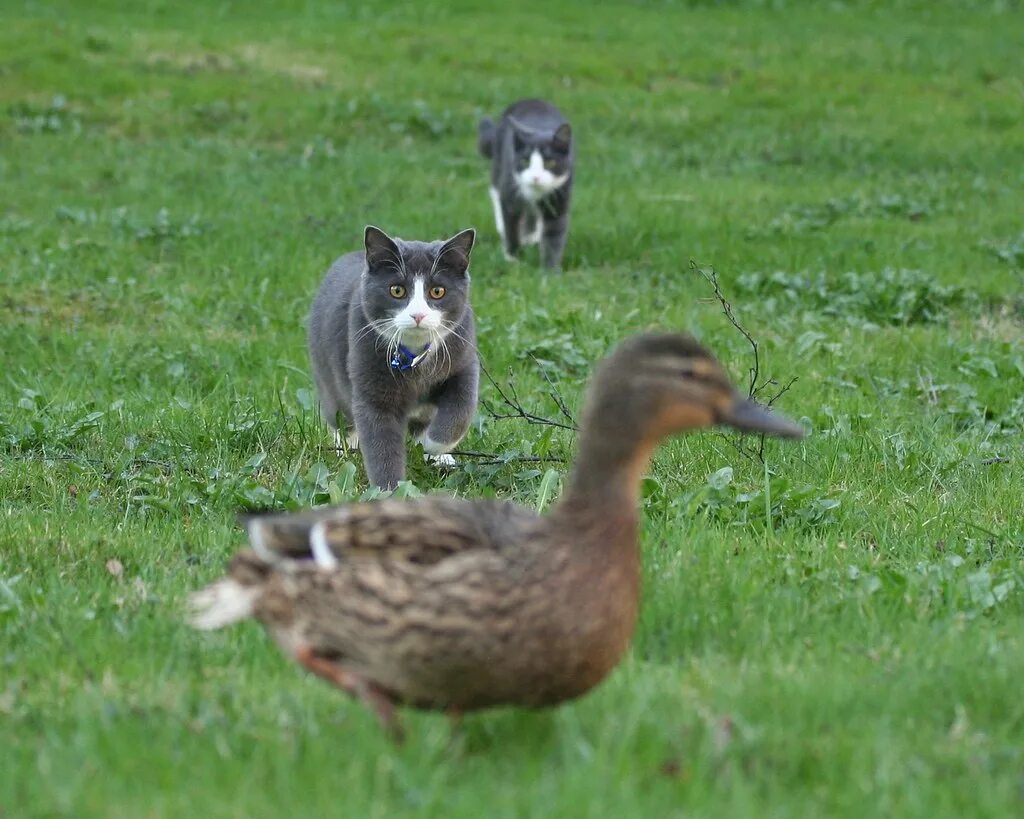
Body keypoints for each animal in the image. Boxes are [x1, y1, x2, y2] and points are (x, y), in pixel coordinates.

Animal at [307, 227, 479, 489]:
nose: (418, 315)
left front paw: (435, 445)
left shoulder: (463, 355)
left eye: (437, 291)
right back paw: (347, 448)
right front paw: (390, 490)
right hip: (327, 372)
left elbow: (462, 403)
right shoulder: (369, 375)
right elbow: (380, 441)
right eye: (397, 290)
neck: (415, 354)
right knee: (339, 417)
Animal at [477, 96, 573, 268]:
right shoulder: (510, 190)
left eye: (550, 163)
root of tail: (529, 99)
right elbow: (511, 226)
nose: (535, 177)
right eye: (525, 161)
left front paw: (550, 269)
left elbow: (554, 234)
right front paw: (512, 256)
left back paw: (531, 235)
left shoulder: (560, 195)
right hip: (499, 160)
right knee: (495, 189)